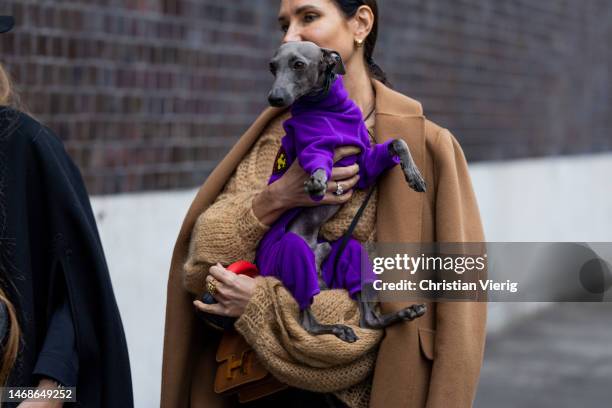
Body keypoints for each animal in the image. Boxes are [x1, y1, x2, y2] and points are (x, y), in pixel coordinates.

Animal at [266, 40, 428, 342]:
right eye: (272, 67)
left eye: (298, 64)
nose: (274, 99)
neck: (330, 109)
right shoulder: (315, 146)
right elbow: (318, 161)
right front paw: (316, 182)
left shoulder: (364, 163)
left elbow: (398, 142)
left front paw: (414, 176)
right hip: (291, 254)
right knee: (307, 322)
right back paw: (337, 328)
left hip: (347, 253)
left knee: (368, 319)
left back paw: (405, 313)